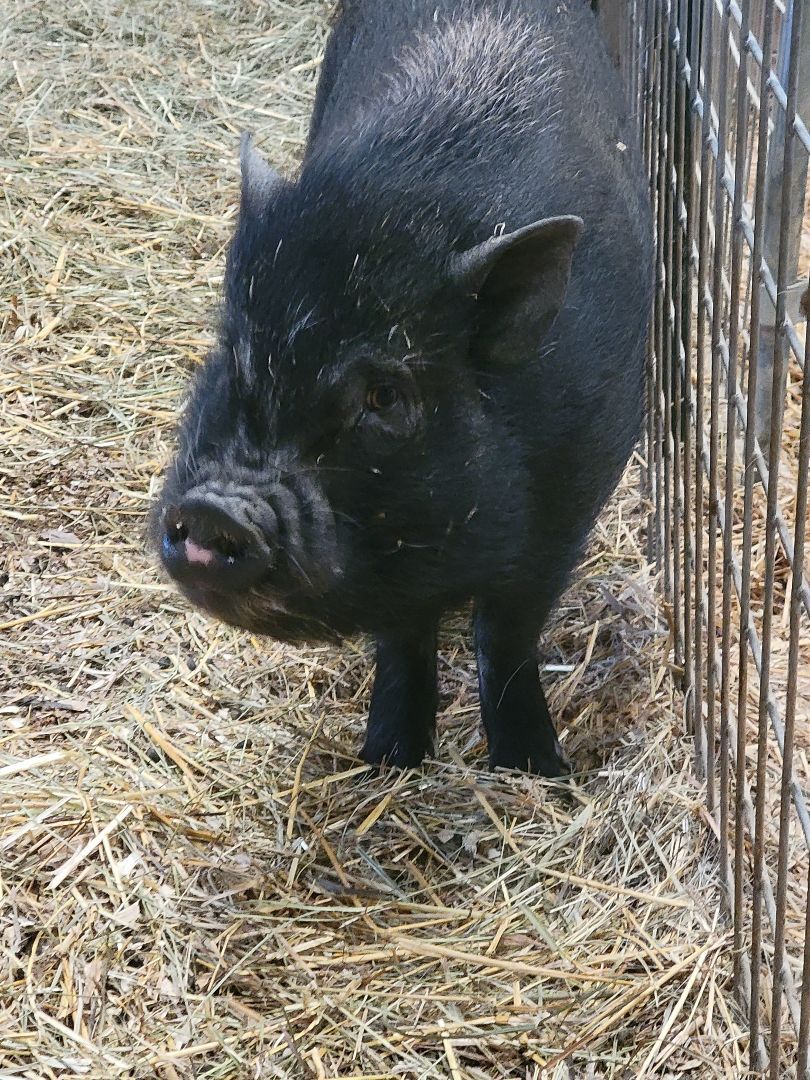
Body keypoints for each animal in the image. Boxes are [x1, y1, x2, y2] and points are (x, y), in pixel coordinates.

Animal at [154, 0, 653, 776]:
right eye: (234, 355)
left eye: (385, 396)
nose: (214, 509)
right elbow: (403, 632)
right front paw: (388, 759)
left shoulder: (574, 498)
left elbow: (507, 629)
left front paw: (534, 767)